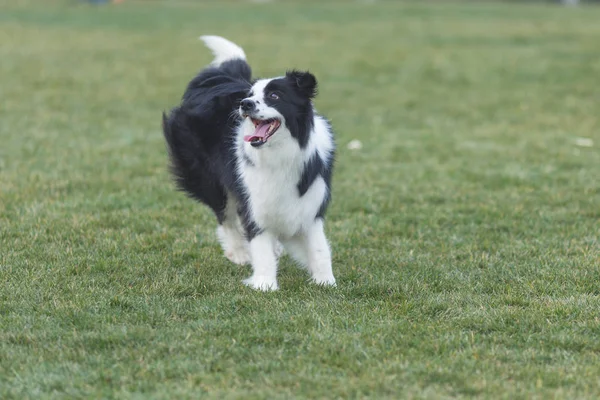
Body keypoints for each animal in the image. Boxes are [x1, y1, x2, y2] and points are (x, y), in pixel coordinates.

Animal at [162, 35, 336, 290]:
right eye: (252, 95)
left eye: (274, 96)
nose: (245, 104)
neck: (280, 151)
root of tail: (217, 78)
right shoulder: (253, 193)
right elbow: (258, 236)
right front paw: (265, 284)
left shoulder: (310, 196)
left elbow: (318, 244)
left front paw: (325, 281)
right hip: (207, 178)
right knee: (224, 215)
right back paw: (239, 252)